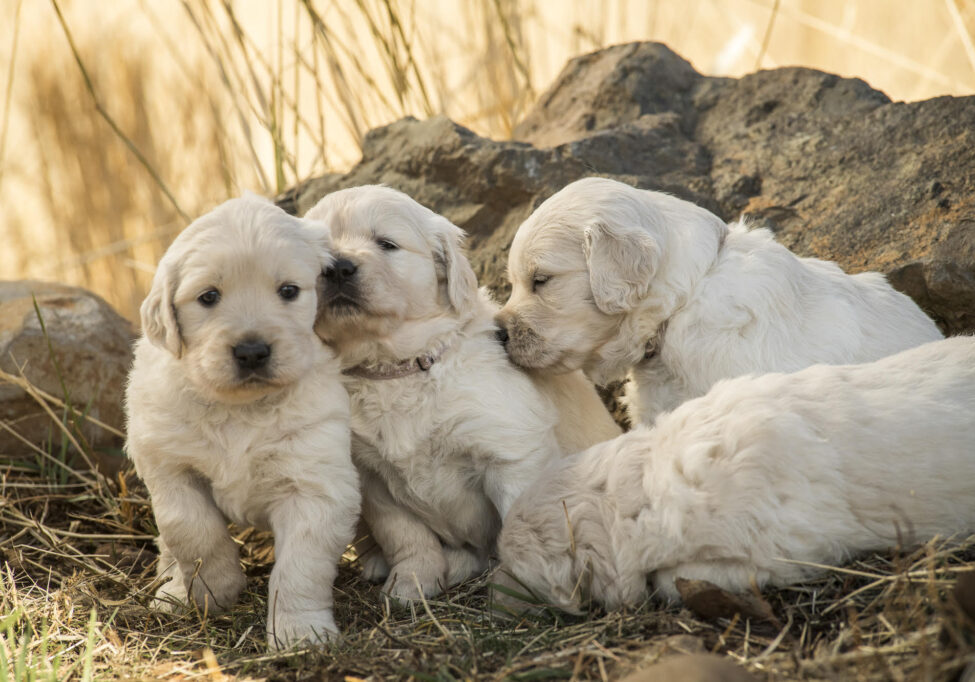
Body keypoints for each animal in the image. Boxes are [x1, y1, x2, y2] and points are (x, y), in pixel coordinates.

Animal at [126, 193, 360, 648]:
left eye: (288, 291)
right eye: (208, 297)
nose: (252, 351)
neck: (240, 409)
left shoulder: (315, 484)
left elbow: (300, 568)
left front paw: (300, 633)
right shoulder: (169, 465)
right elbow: (192, 530)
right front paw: (213, 589)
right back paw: (172, 591)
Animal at [308, 186, 620, 600]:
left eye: (386, 243)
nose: (338, 267)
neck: (398, 367)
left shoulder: (512, 455)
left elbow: (517, 524)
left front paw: (516, 593)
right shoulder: (373, 477)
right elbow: (404, 534)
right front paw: (411, 582)